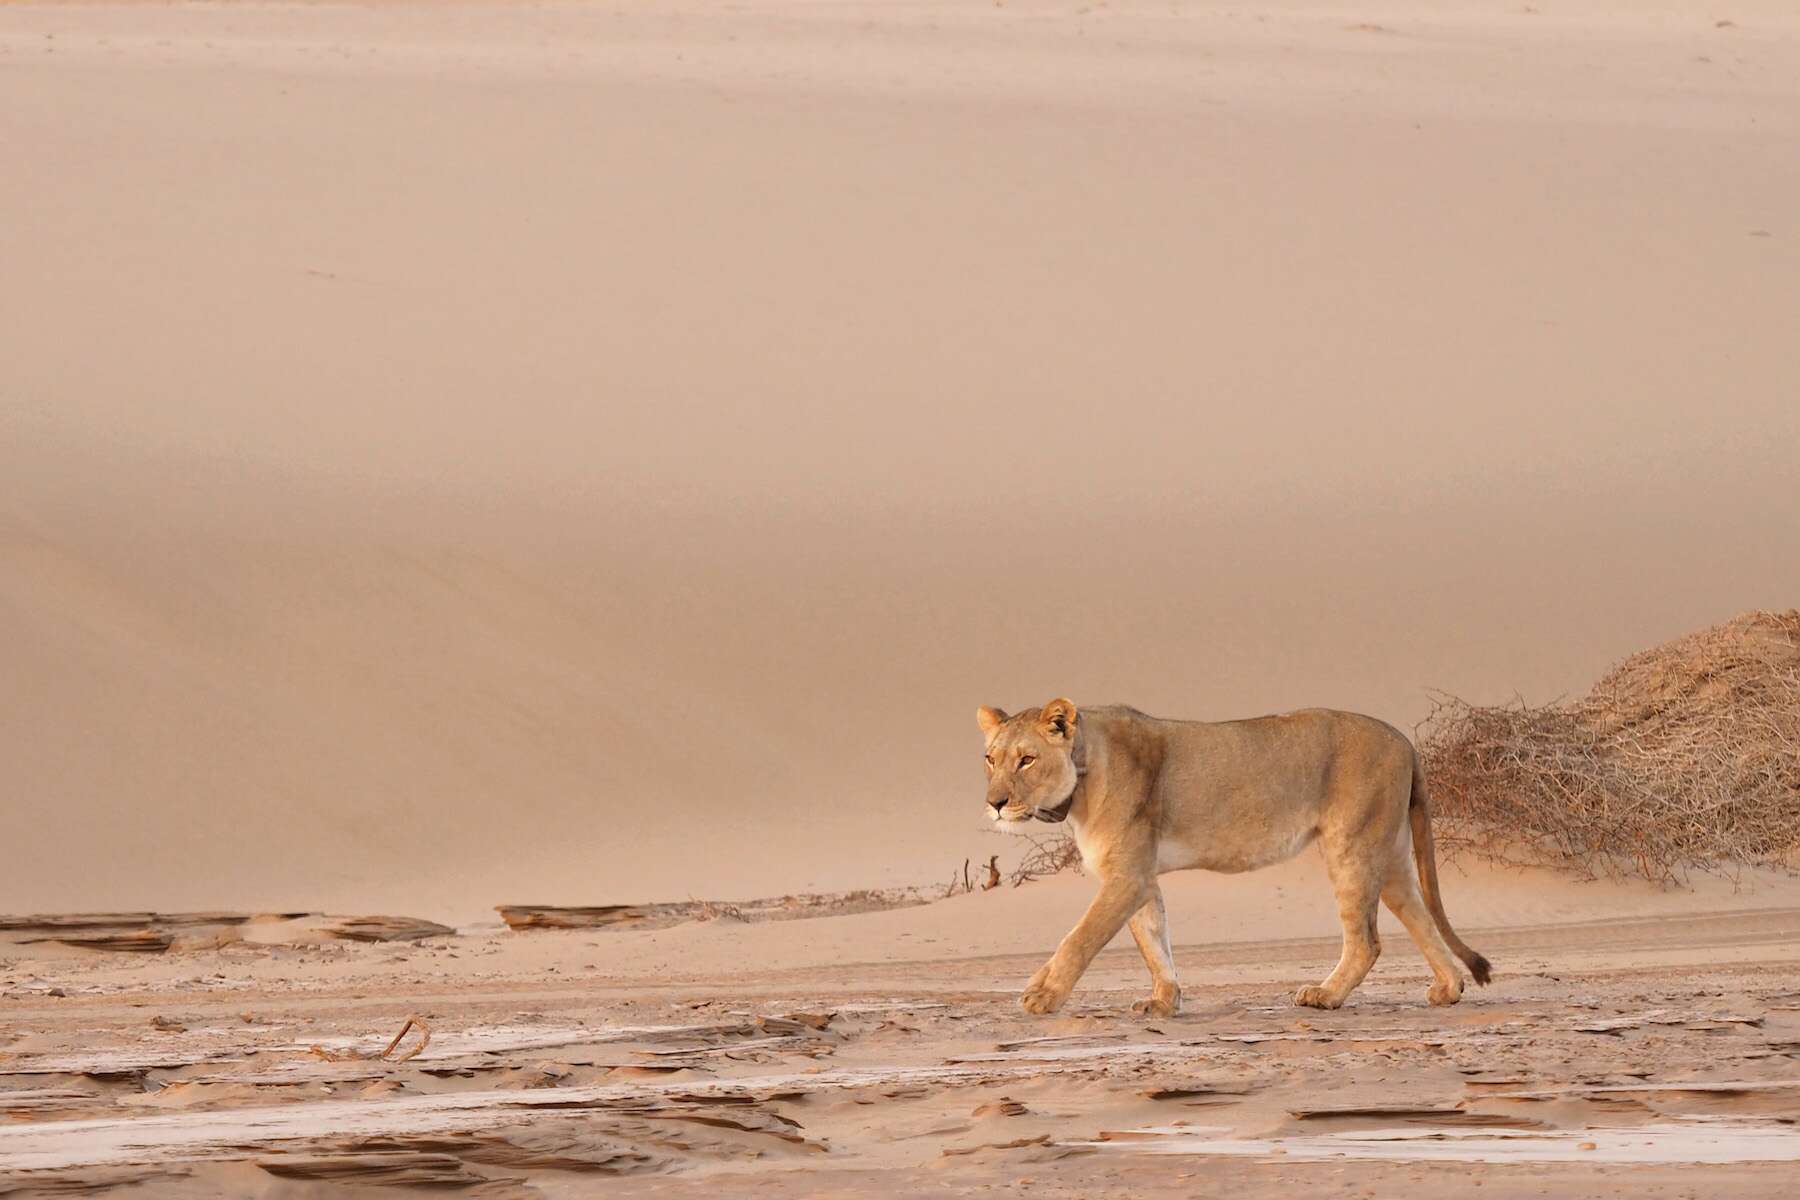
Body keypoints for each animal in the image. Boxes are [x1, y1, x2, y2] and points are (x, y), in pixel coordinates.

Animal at [977, 699, 1491, 1016]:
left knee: (1367, 940)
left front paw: (1043, 994)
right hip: (1391, 853)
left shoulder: (1125, 877)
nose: (995, 803)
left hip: (1351, 845)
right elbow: (1154, 941)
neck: (1083, 772)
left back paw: (1325, 995)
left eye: (1026, 759)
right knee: (1420, 917)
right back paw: (1448, 988)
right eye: (991, 759)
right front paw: (1164, 1002)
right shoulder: (1140, 876)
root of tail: (1402, 738)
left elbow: (1079, 938)